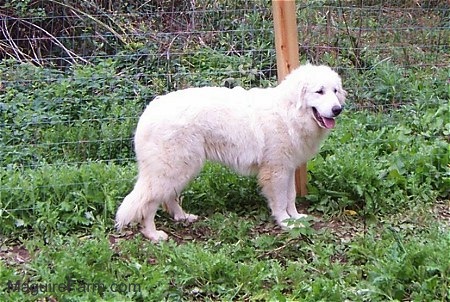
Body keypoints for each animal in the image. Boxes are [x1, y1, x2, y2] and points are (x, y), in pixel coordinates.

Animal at [115, 63, 344, 241]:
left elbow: (291, 197)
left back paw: (182, 217)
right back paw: (153, 234)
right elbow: (280, 201)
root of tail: (149, 111)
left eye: (335, 91)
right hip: (172, 169)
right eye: (319, 91)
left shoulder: (287, 168)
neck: (288, 112)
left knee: (168, 198)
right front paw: (285, 222)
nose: (337, 109)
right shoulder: (276, 171)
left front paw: (296, 219)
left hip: (184, 168)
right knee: (148, 204)